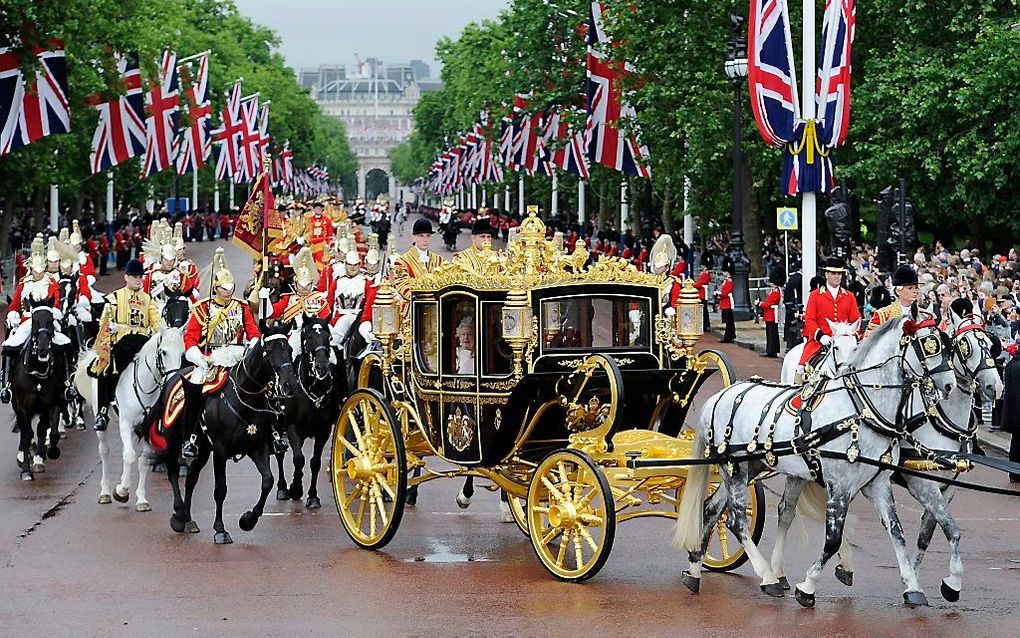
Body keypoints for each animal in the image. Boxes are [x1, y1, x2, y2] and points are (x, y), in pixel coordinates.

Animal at [12, 304, 66, 477]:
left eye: (51, 320)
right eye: (33, 321)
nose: (42, 349)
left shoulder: (52, 403)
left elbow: (49, 431)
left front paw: (47, 454)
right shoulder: (22, 407)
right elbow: (27, 434)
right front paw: (25, 469)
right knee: (25, 429)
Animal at [75, 330, 185, 510]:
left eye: (182, 354)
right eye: (163, 352)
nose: (173, 379)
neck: (146, 387)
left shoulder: (148, 428)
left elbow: (144, 460)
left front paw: (141, 499)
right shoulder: (125, 424)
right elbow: (129, 455)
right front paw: (121, 491)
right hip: (103, 423)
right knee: (104, 451)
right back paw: (105, 492)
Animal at [140, 328, 297, 543]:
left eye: (289, 349)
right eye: (270, 351)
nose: (290, 385)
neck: (243, 398)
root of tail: (173, 377)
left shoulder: (258, 447)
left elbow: (268, 481)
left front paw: (248, 520)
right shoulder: (220, 451)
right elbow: (220, 490)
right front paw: (220, 530)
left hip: (203, 450)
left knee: (191, 478)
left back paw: (188, 519)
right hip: (173, 440)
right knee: (173, 472)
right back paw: (179, 515)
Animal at [277, 316, 348, 508]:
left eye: (328, 338)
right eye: (309, 337)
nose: (322, 367)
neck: (314, 388)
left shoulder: (323, 430)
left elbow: (314, 462)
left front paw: (312, 496)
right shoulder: (292, 426)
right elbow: (298, 458)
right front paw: (295, 489)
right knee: (280, 454)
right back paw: (283, 488)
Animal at [677, 314, 954, 608]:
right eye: (928, 345)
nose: (950, 385)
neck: (861, 409)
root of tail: (718, 397)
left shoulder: (876, 485)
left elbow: (896, 531)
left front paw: (913, 587)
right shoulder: (839, 484)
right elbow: (832, 540)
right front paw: (807, 587)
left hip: (746, 467)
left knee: (712, 509)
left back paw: (694, 571)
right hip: (737, 469)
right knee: (736, 520)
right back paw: (768, 578)